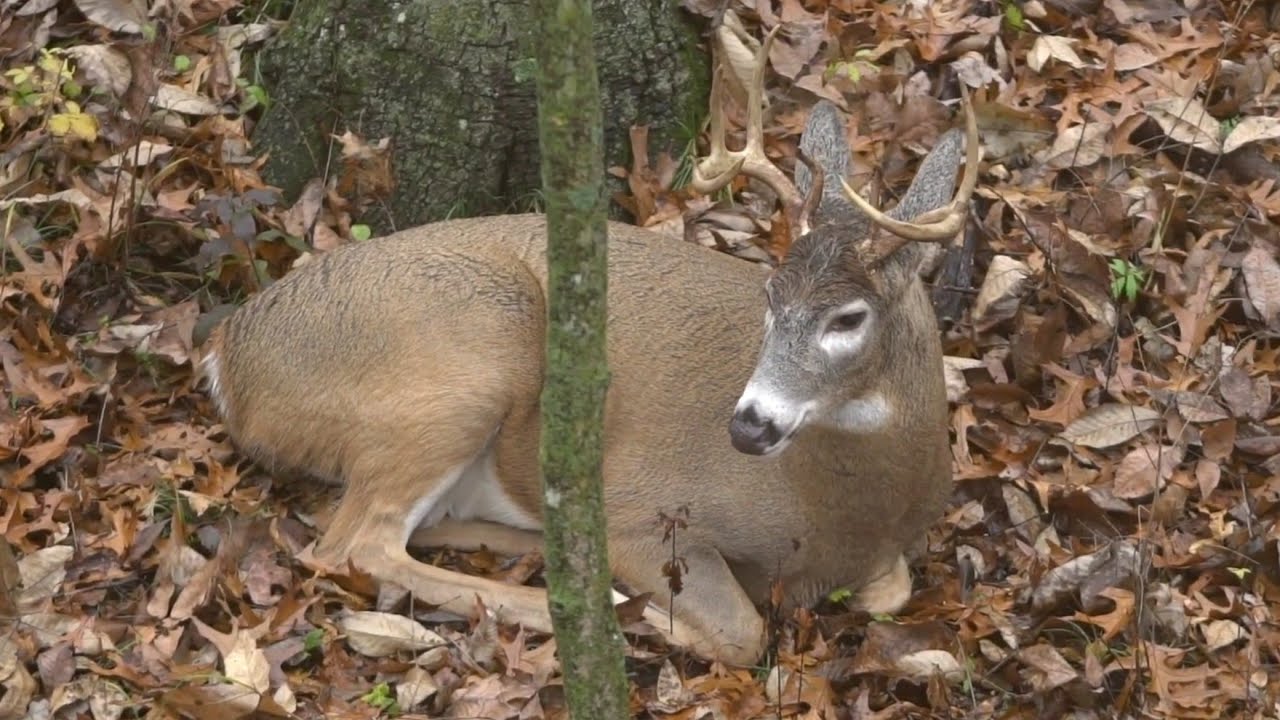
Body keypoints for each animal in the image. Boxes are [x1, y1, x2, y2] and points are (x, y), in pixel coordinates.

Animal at [198, 22, 979, 666]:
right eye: (770, 295)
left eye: (848, 317)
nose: (749, 426)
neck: (844, 514)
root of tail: (227, 357)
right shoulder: (644, 503)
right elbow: (742, 632)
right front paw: (651, 612)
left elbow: (890, 591)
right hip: (474, 351)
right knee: (352, 545)